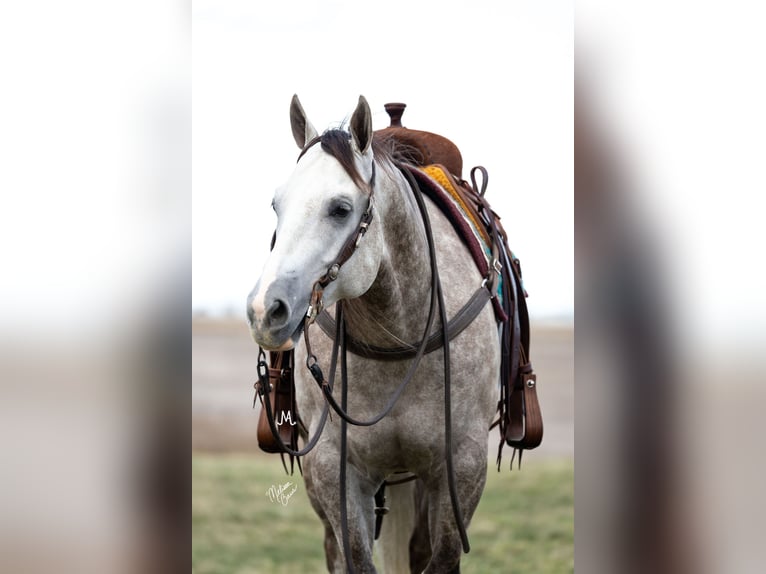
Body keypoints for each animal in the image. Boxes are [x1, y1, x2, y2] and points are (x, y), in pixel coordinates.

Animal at [249, 97, 500, 572]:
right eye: (275, 205)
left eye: (341, 208)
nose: (265, 310)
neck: (397, 337)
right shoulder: (335, 470)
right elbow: (356, 558)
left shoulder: (462, 465)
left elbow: (441, 557)